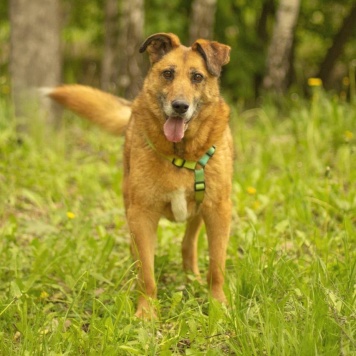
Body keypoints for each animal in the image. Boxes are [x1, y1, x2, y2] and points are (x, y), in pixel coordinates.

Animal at [50, 32, 234, 318]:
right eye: (168, 73)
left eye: (197, 77)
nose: (179, 106)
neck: (182, 154)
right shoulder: (142, 215)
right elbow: (146, 273)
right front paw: (146, 314)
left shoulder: (218, 211)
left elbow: (216, 267)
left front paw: (218, 305)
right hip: (130, 206)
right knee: (136, 254)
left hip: (200, 211)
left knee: (188, 242)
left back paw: (191, 278)